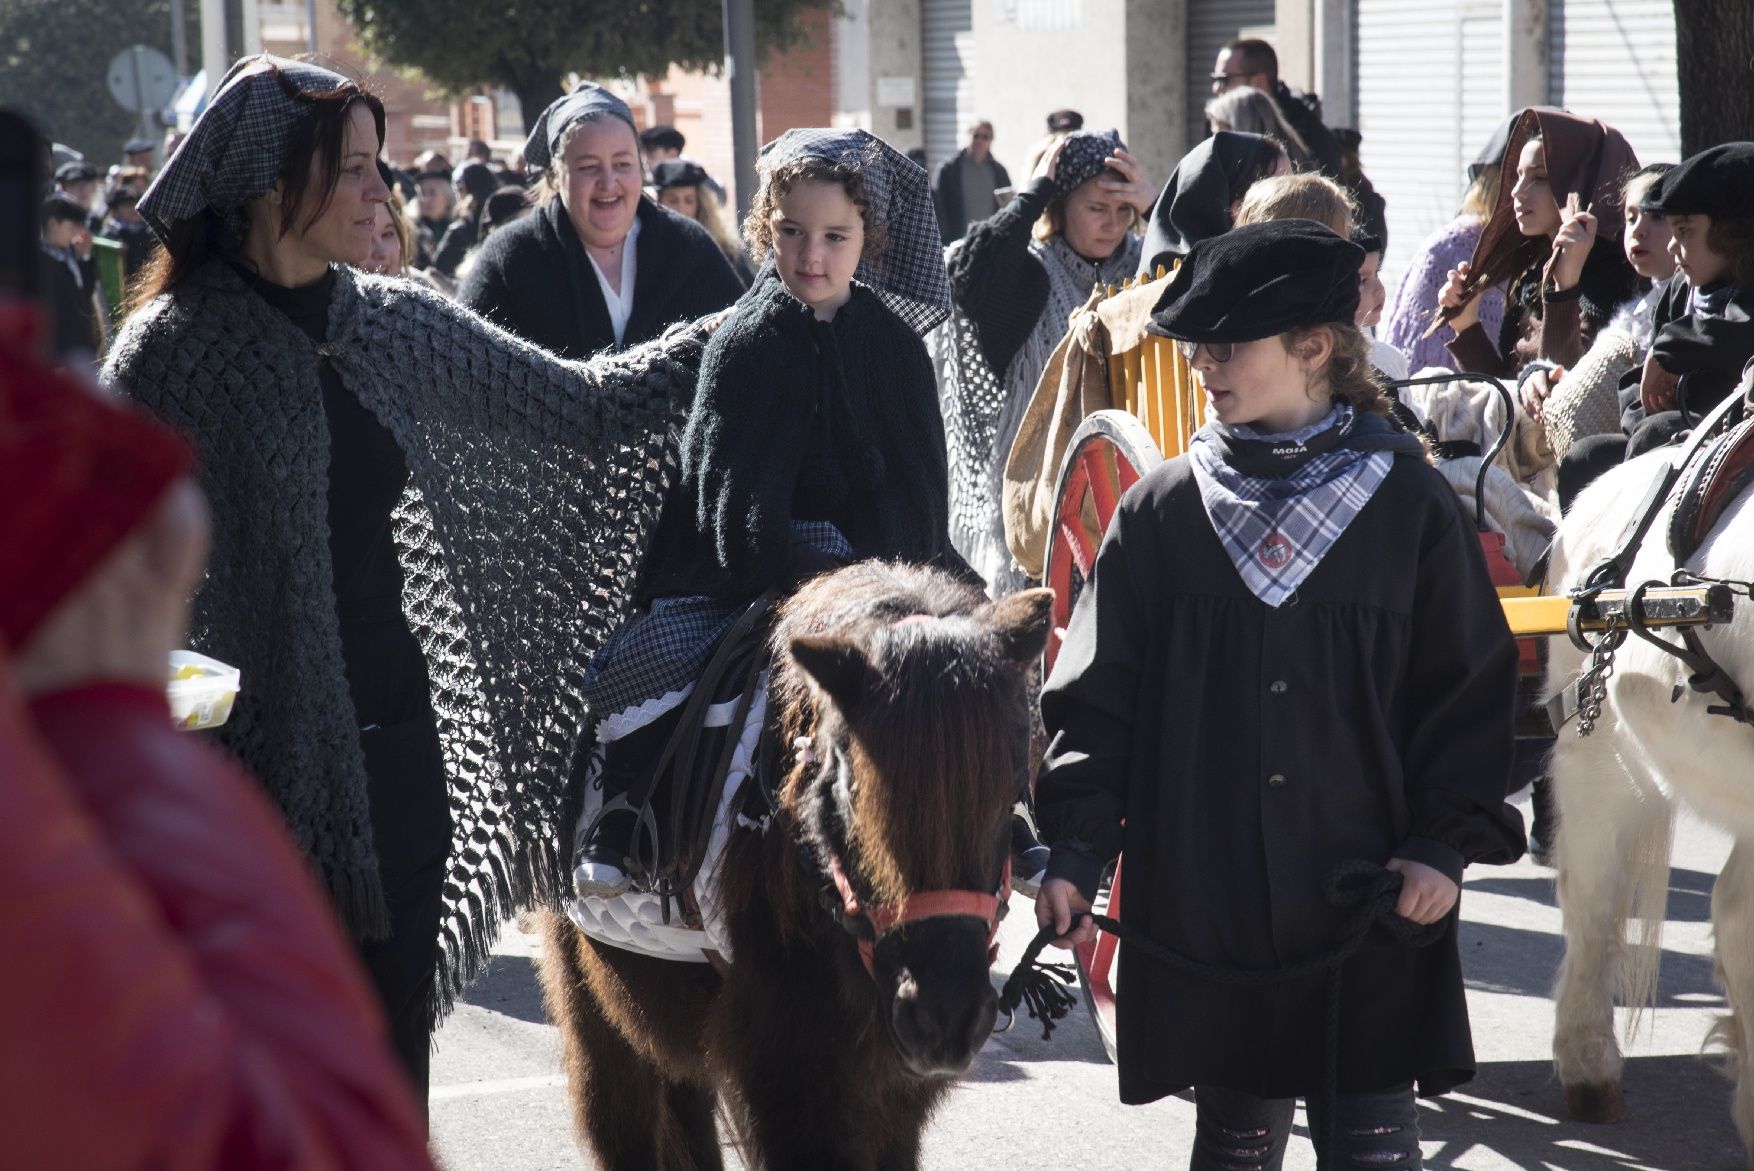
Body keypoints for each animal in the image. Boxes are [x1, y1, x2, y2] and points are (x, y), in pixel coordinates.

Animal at [540, 560, 1045, 1163]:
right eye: (852, 790)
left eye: (1014, 786)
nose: (943, 1022)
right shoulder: (794, 1077)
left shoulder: (891, 1095)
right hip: (595, 1008)